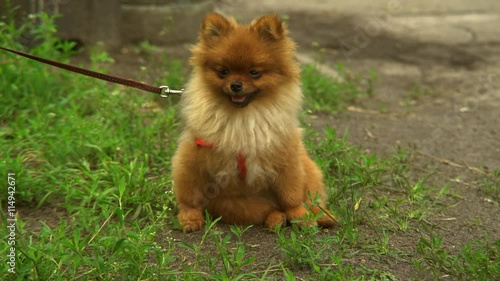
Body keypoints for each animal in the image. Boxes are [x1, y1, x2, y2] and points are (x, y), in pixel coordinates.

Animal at [171, 13, 336, 231]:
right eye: (223, 72)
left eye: (254, 72)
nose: (236, 85)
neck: (244, 117)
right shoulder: (191, 159)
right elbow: (190, 196)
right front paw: (190, 218)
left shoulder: (288, 161)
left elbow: (292, 197)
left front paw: (301, 217)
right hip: (236, 204)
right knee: (270, 209)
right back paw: (276, 219)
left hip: (308, 168)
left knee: (309, 199)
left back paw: (322, 216)